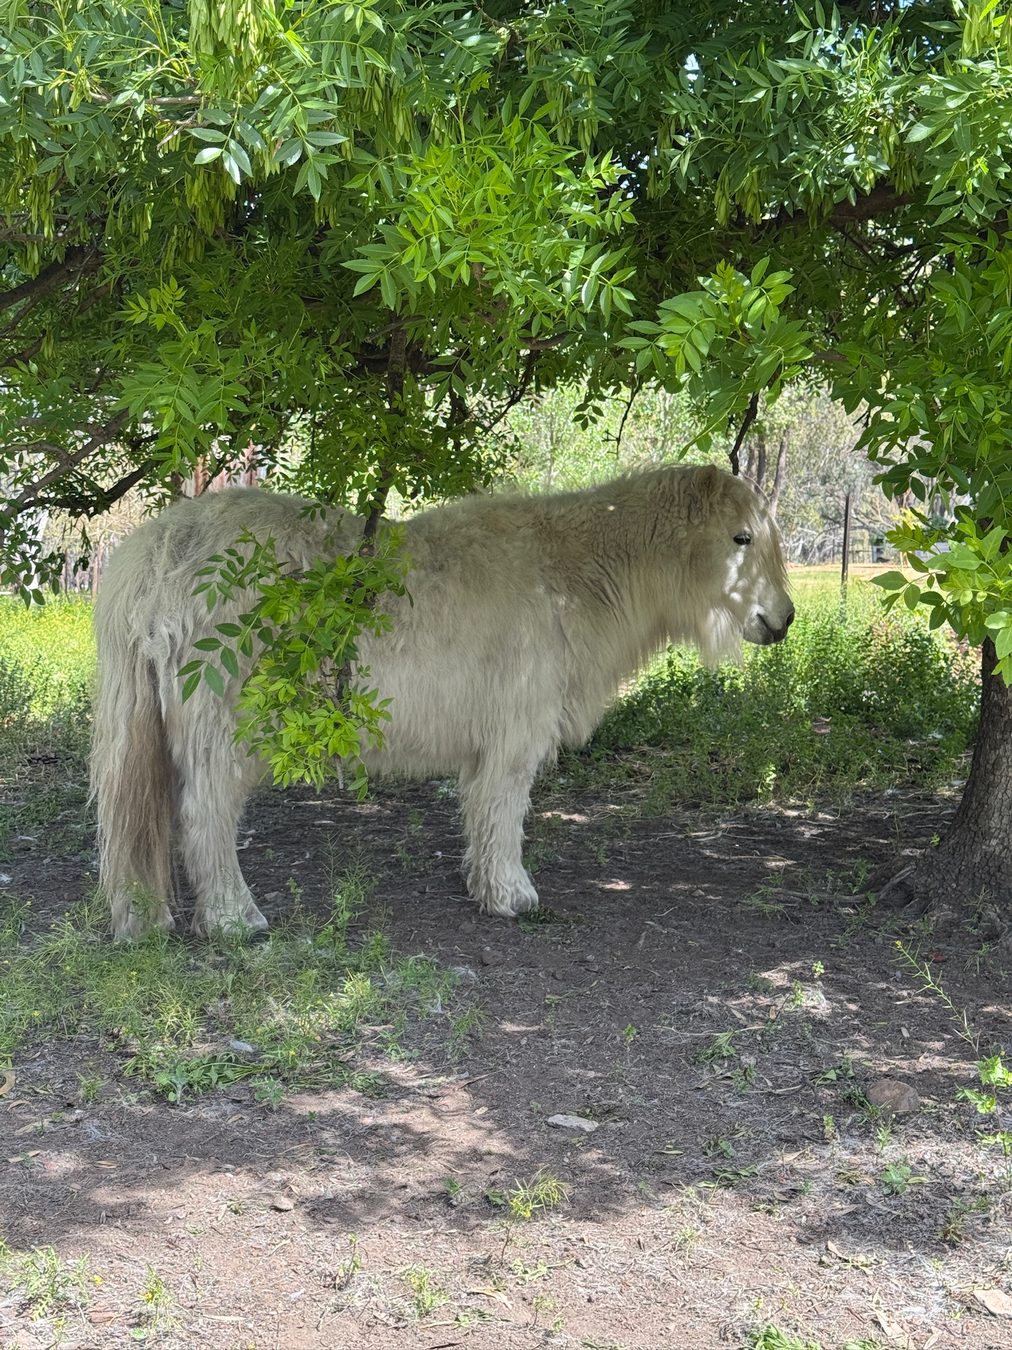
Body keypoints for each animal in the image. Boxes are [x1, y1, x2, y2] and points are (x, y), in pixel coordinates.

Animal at [91, 463, 794, 939]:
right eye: (740, 538)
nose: (783, 618)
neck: (569, 575)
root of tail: (159, 550)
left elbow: (481, 811)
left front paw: (483, 885)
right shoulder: (515, 730)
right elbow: (505, 809)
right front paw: (512, 894)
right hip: (224, 729)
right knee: (205, 815)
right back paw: (235, 918)